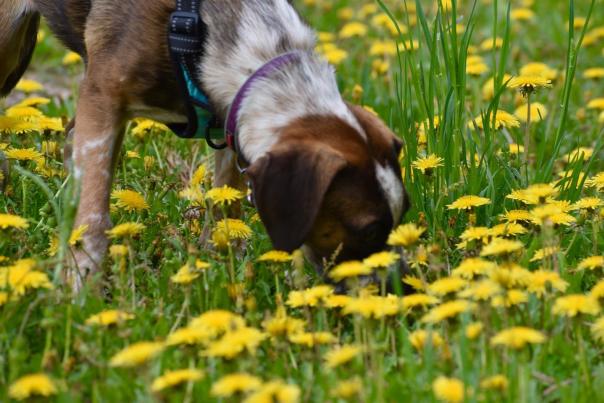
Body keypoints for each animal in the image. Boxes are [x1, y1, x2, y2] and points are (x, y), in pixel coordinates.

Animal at [1, 0, 410, 290]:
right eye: (368, 230)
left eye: (402, 215)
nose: (401, 288)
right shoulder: (101, 98)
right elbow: (94, 219)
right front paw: (83, 291)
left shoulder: (232, 121)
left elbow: (225, 210)